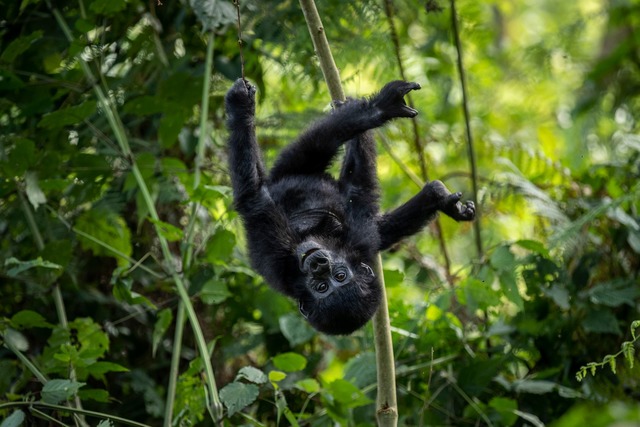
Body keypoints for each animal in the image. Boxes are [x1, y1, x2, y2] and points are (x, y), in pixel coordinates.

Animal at [225, 78, 476, 336]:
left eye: (339, 276)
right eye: (322, 287)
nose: (318, 265)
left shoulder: (360, 242)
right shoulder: (279, 258)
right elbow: (255, 197)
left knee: (318, 146)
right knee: (317, 146)